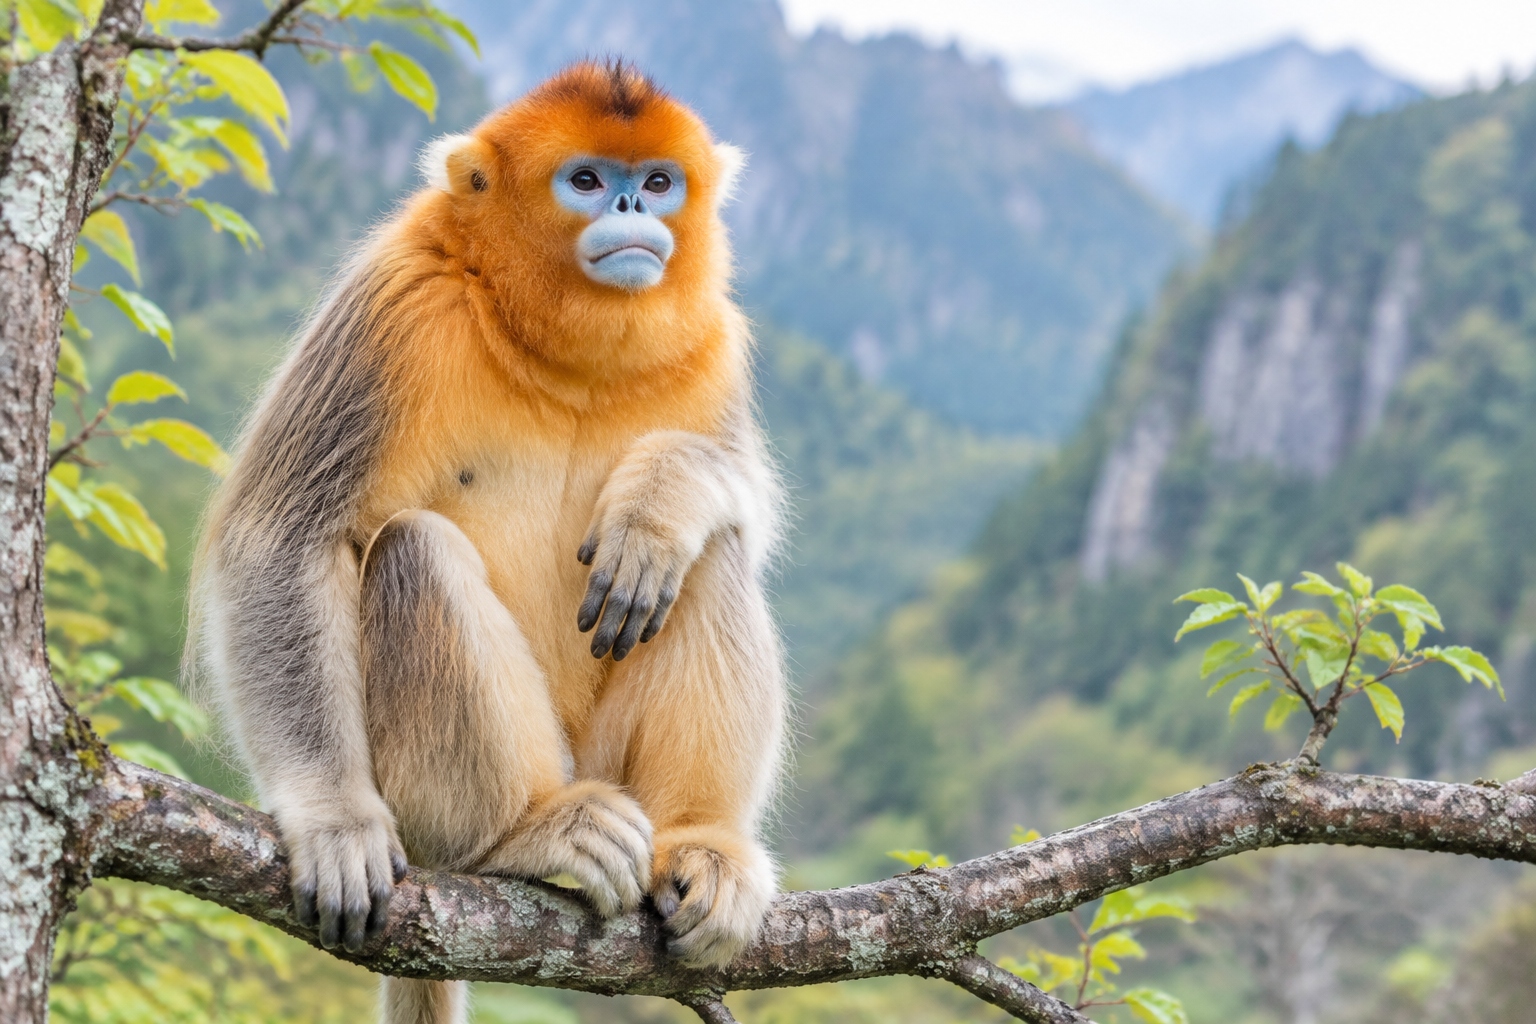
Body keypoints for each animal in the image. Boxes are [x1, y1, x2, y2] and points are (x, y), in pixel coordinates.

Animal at [189, 61, 787, 1024]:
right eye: (586, 180)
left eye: (659, 181)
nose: (633, 205)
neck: (561, 354)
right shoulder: (392, 300)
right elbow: (279, 537)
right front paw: (332, 816)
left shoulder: (714, 342)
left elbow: (746, 504)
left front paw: (660, 500)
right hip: (442, 796)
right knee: (414, 549)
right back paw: (523, 833)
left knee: (708, 557)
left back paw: (703, 846)